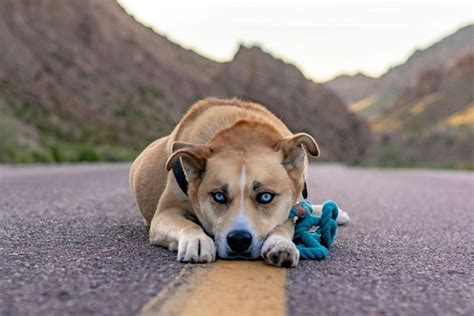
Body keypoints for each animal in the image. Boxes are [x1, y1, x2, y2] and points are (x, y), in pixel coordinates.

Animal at [129, 98, 348, 266]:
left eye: (265, 197)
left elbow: (285, 224)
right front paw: (197, 240)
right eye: (219, 196)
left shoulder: (288, 209)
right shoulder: (166, 212)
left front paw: (281, 243)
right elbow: (187, 224)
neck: (239, 131)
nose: (239, 240)